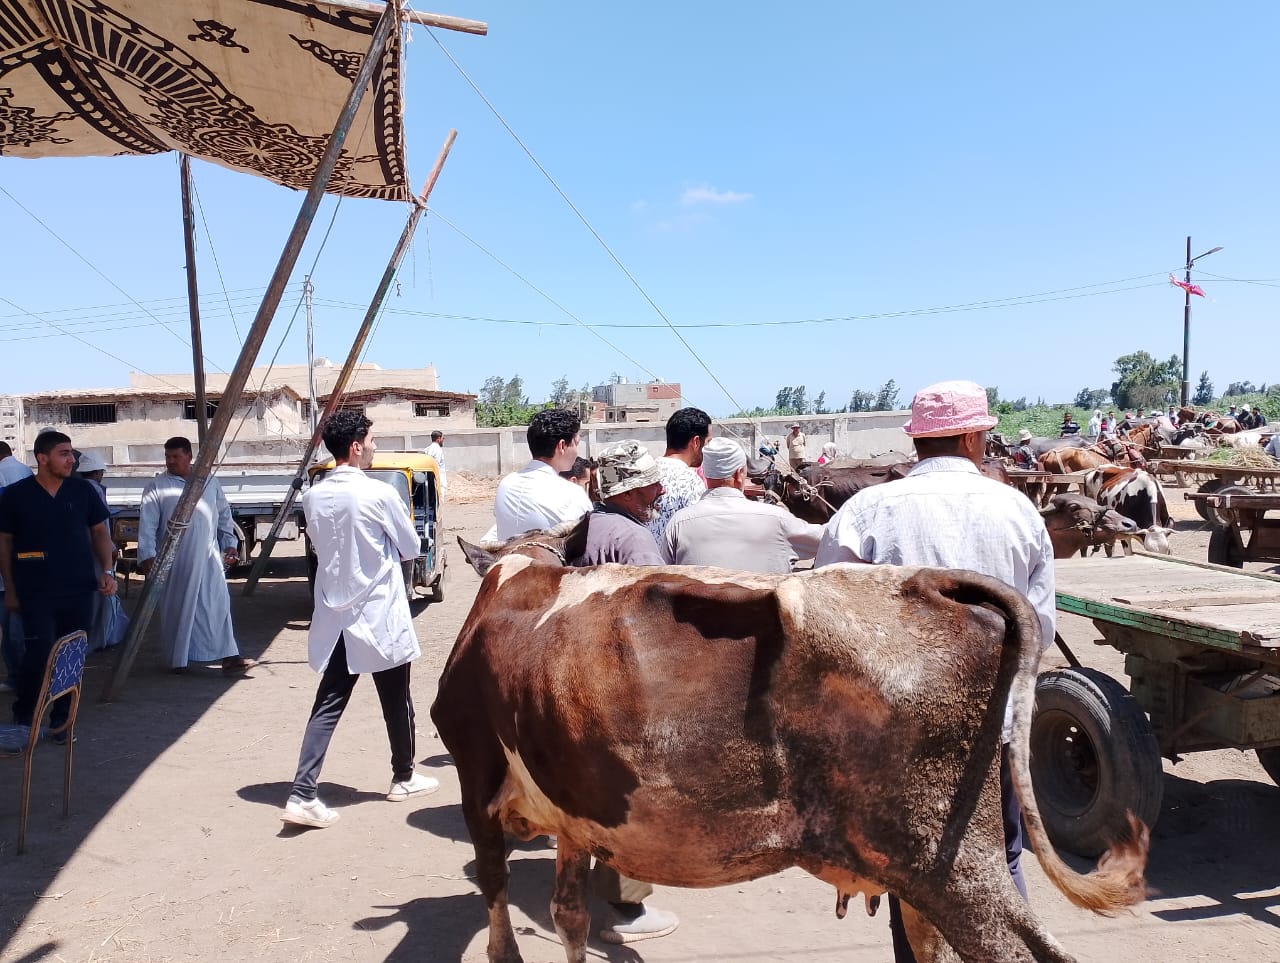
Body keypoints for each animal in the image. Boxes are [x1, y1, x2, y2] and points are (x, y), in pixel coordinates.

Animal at [435, 522, 1146, 962]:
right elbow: (568, 915)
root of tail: (926, 580)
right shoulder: (572, 812)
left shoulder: (477, 783)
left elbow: (497, 900)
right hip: (931, 868)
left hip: (947, 864)